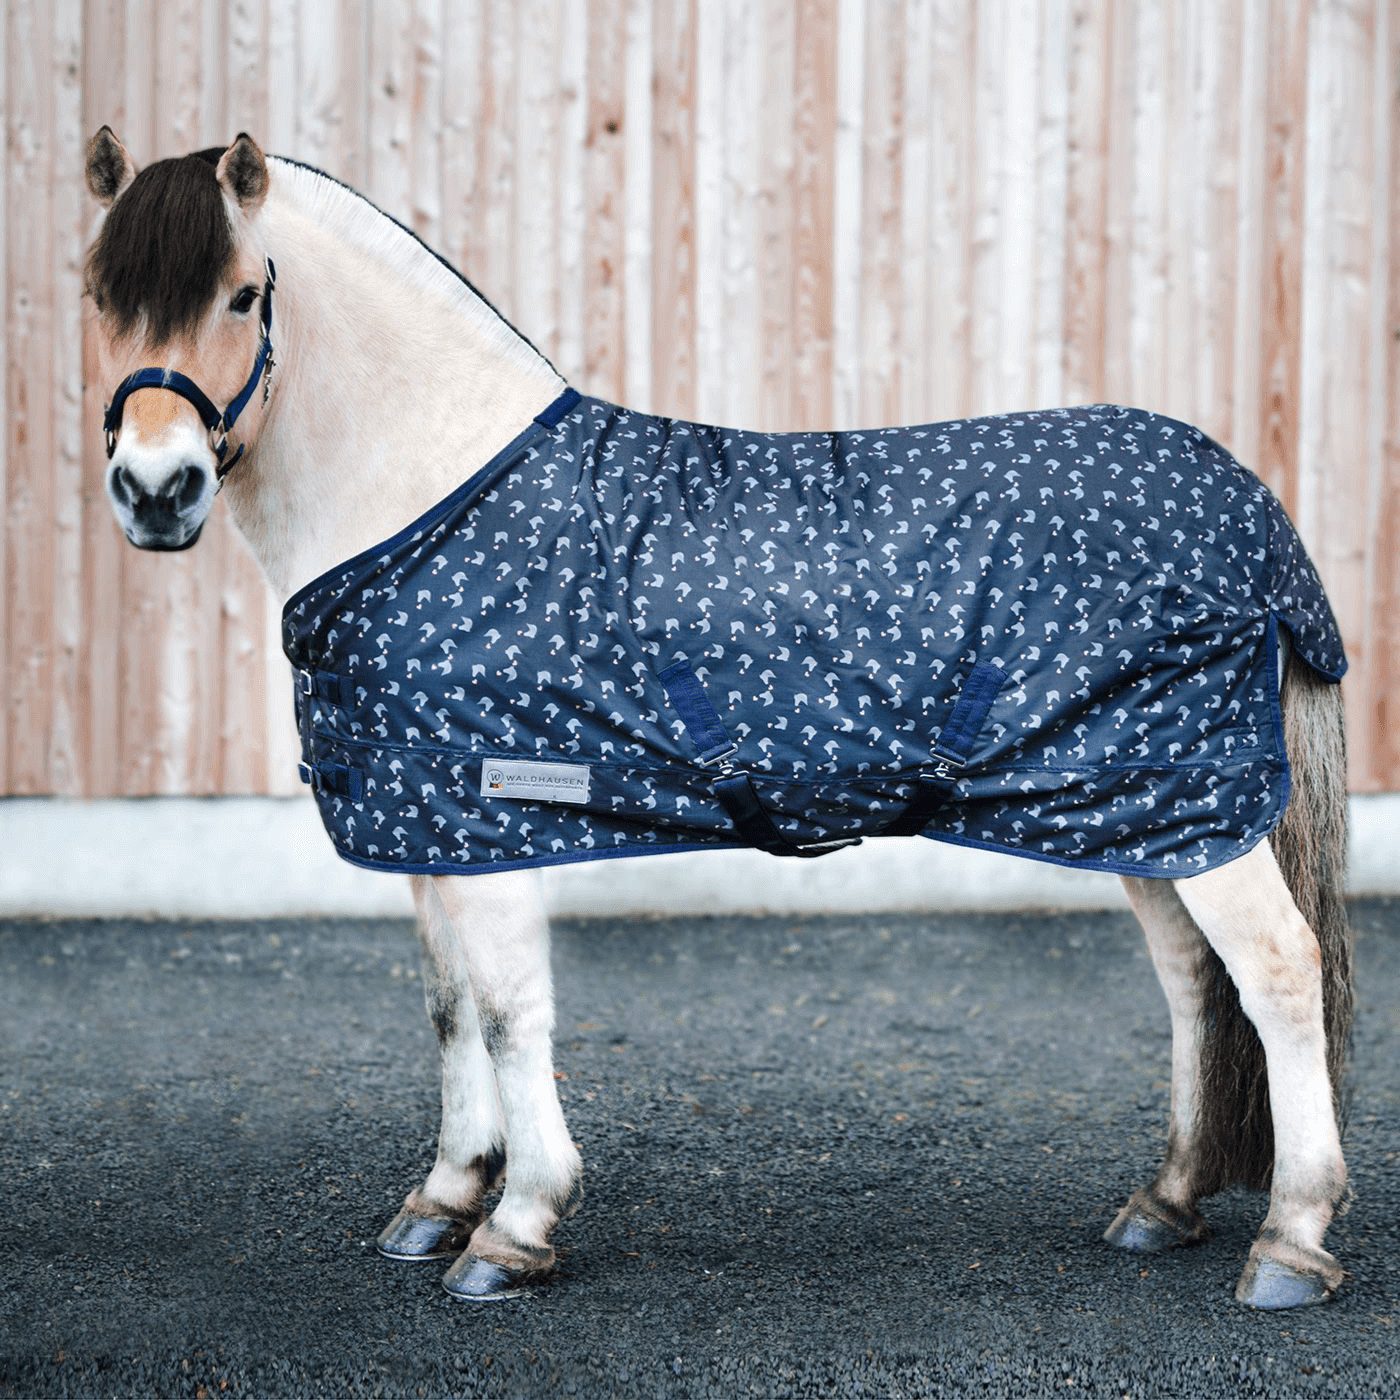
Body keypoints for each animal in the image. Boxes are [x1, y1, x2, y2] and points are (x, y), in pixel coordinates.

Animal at [82, 128, 1354, 1309]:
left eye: (241, 293)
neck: (433, 492)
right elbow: (450, 1011)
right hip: (1141, 806)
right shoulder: (428, 822)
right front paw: (441, 1197)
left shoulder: (497, 810)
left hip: (1187, 804)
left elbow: (509, 1011)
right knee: (1193, 980)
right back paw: (1166, 1198)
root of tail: (1243, 501)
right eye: (96, 289)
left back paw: (1289, 1239)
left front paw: (515, 1224)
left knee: (1275, 970)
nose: (156, 490)